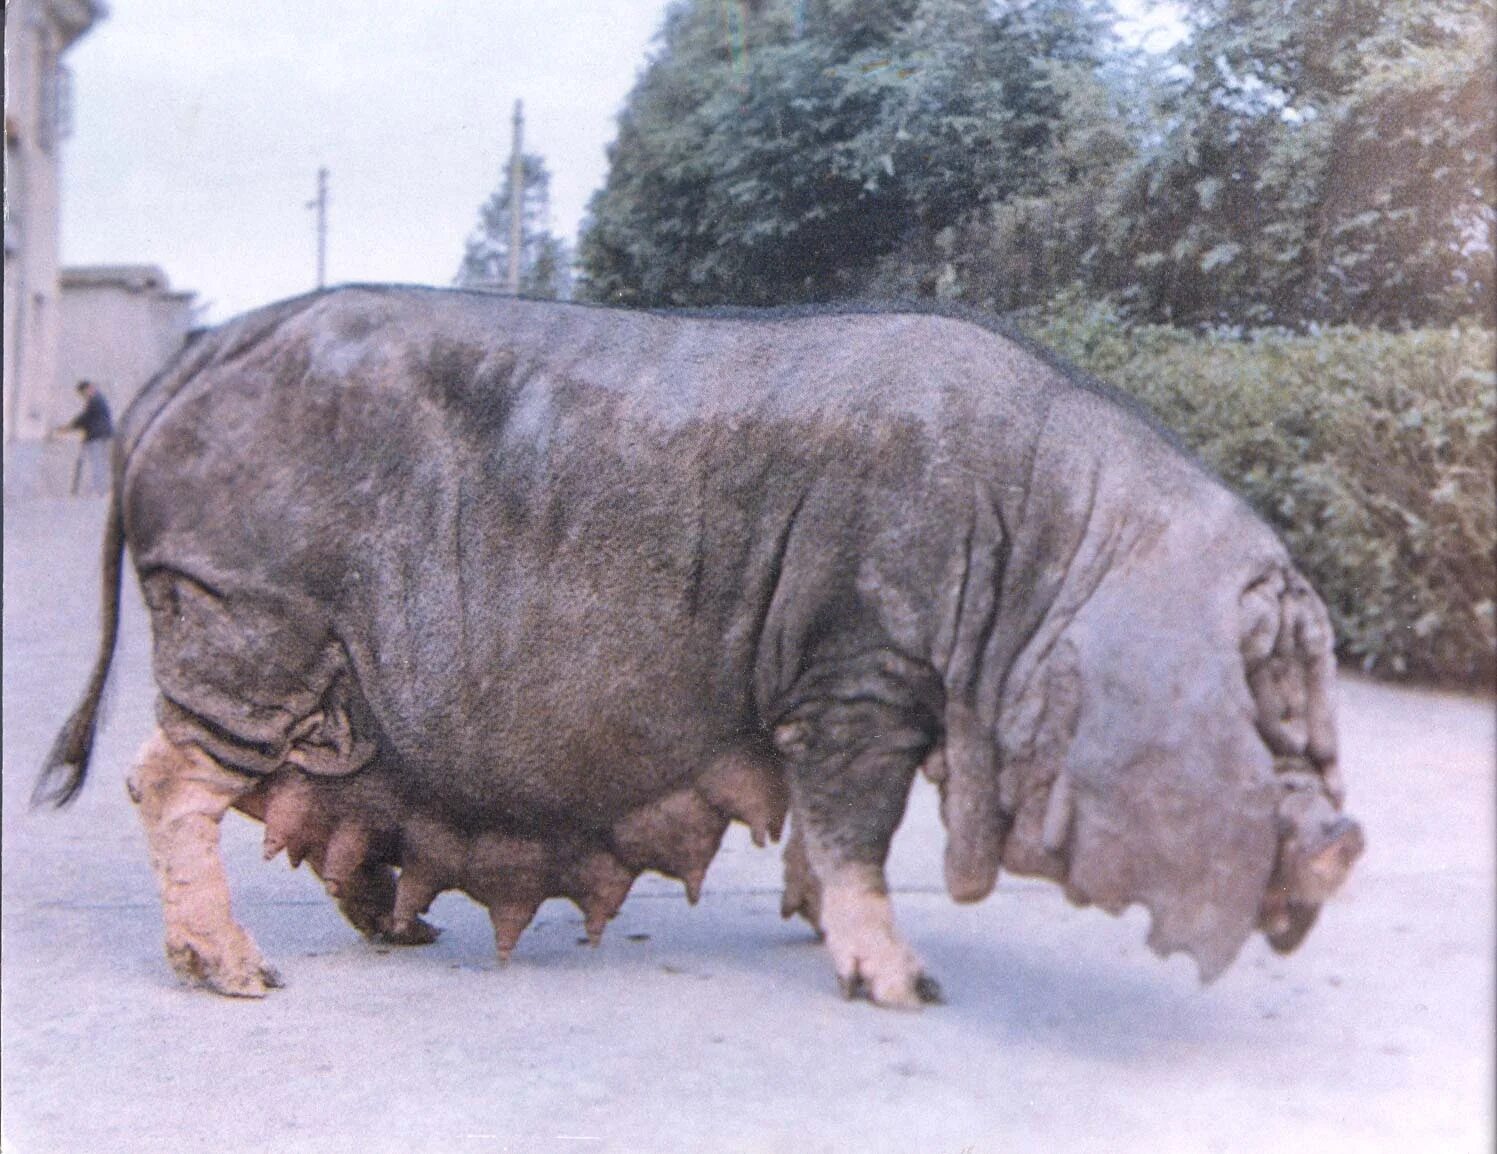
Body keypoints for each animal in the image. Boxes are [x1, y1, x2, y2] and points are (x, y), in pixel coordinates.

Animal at [40, 291, 1365, 1011]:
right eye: (1274, 685)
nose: (1350, 836)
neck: (1049, 557)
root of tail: (203, 352)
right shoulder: (862, 668)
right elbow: (858, 828)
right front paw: (908, 985)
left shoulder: (831, 692)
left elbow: (821, 834)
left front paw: (806, 925)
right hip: (242, 609)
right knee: (165, 778)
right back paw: (243, 974)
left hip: (307, 663)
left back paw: (405, 933)